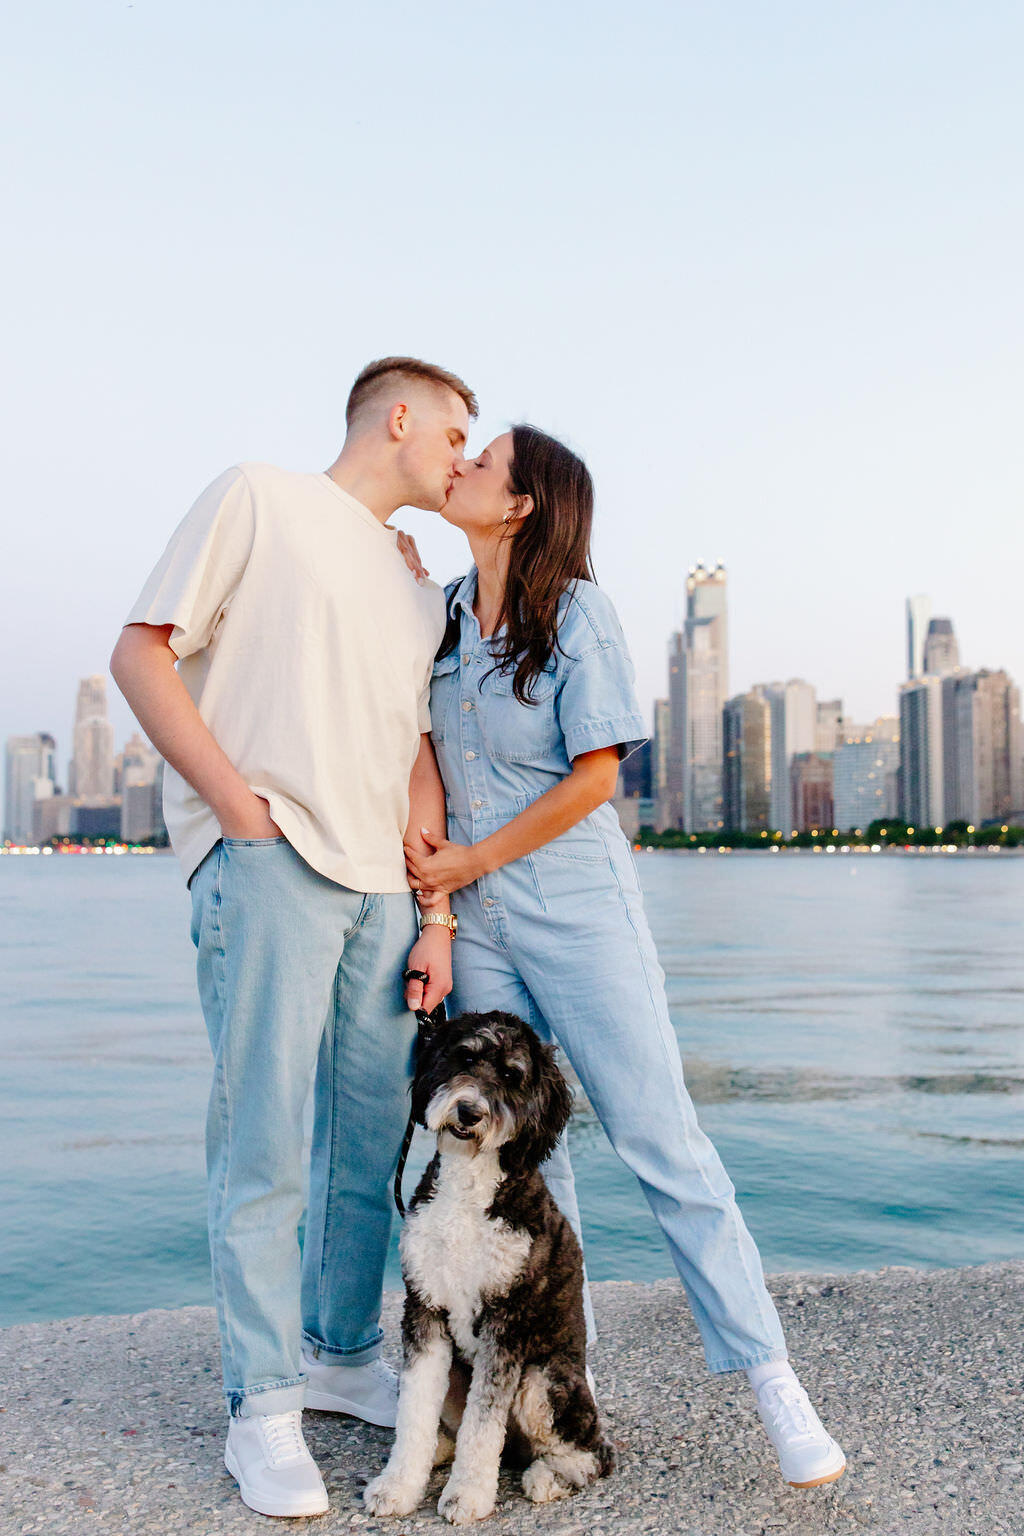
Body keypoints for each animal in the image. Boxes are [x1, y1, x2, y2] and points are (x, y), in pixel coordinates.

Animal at [363, 1007, 614, 1523]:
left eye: (512, 1076)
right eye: (465, 1057)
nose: (469, 1111)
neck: (467, 1189)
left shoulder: (507, 1322)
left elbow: (483, 1425)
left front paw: (467, 1496)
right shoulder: (424, 1309)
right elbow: (414, 1411)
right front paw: (398, 1486)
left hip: (544, 1381)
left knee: (593, 1454)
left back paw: (547, 1477)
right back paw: (441, 1453)